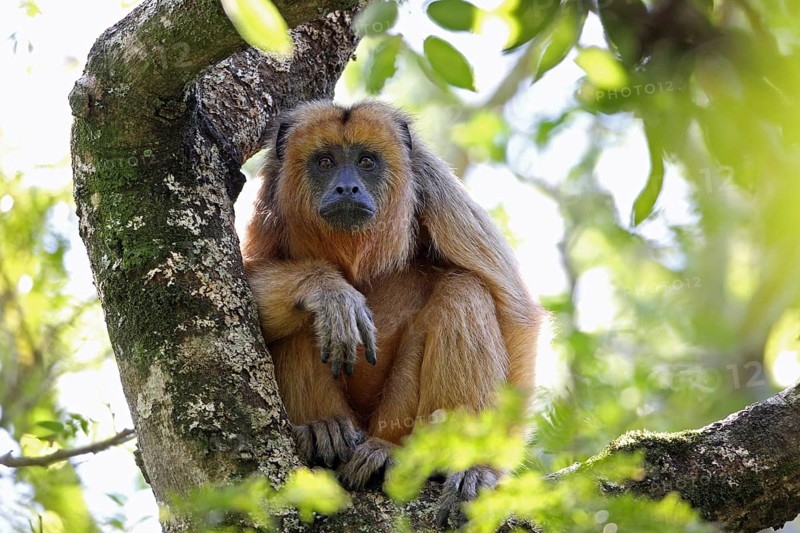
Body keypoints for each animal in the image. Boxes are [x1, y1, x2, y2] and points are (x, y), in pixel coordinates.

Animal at [241, 100, 543, 526]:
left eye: (366, 162)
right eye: (325, 161)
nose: (347, 187)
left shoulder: (434, 186)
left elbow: (514, 312)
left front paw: (481, 469)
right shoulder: (265, 199)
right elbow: (240, 279)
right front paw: (327, 288)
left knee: (465, 291)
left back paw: (405, 457)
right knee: (308, 320)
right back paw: (322, 429)